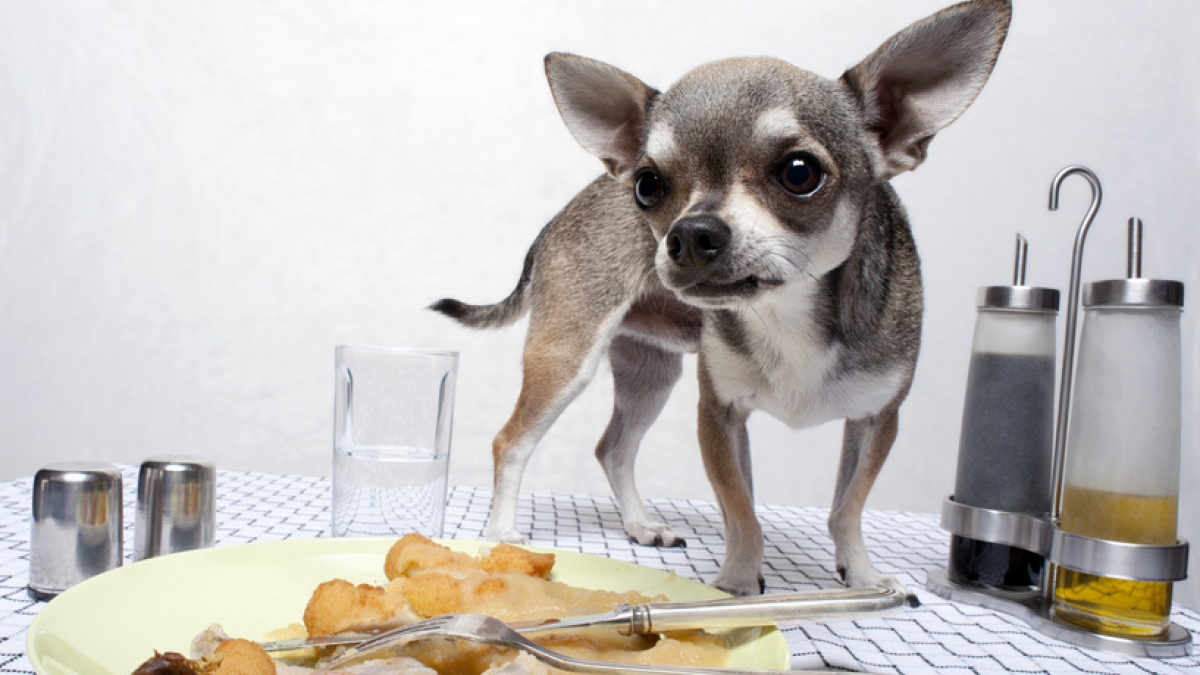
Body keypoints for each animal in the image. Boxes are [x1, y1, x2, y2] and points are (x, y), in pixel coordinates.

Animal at [436, 0, 1008, 593]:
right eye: (648, 184)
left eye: (800, 172)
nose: (689, 234)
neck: (785, 315)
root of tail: (560, 215)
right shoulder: (719, 413)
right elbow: (742, 509)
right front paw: (736, 583)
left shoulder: (877, 420)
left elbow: (846, 507)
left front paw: (862, 574)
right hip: (568, 358)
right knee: (512, 441)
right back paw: (503, 535)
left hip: (651, 374)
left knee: (613, 449)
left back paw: (641, 525)